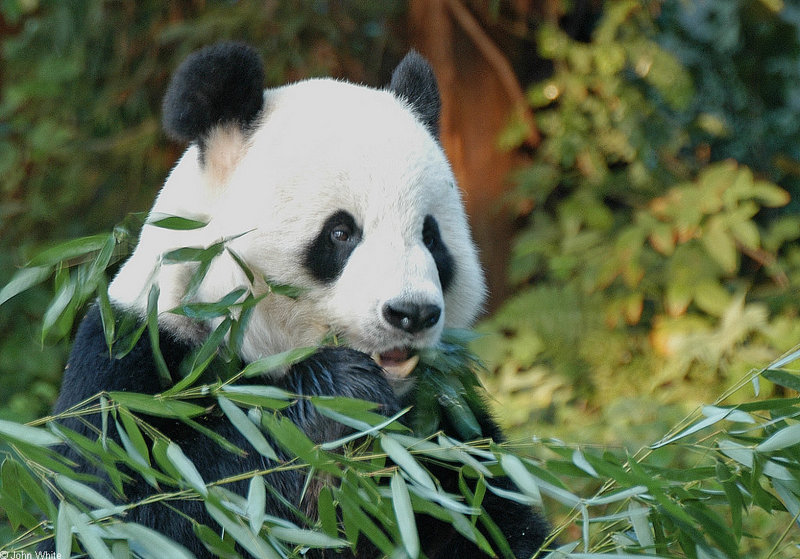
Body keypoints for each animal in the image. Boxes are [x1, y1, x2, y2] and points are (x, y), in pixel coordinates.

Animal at [48, 43, 552, 559]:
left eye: (431, 238)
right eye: (341, 232)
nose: (411, 314)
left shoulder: (442, 427)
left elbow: (491, 517)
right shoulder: (132, 362)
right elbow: (140, 508)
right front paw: (340, 395)